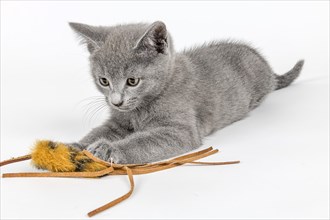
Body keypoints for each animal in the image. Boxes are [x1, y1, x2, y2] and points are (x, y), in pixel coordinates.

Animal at [69, 21, 304, 164]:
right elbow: (98, 131)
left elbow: (142, 140)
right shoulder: (117, 122)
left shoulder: (179, 130)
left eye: (132, 81)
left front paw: (109, 150)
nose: (116, 102)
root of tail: (265, 64)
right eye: (104, 81)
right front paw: (74, 147)